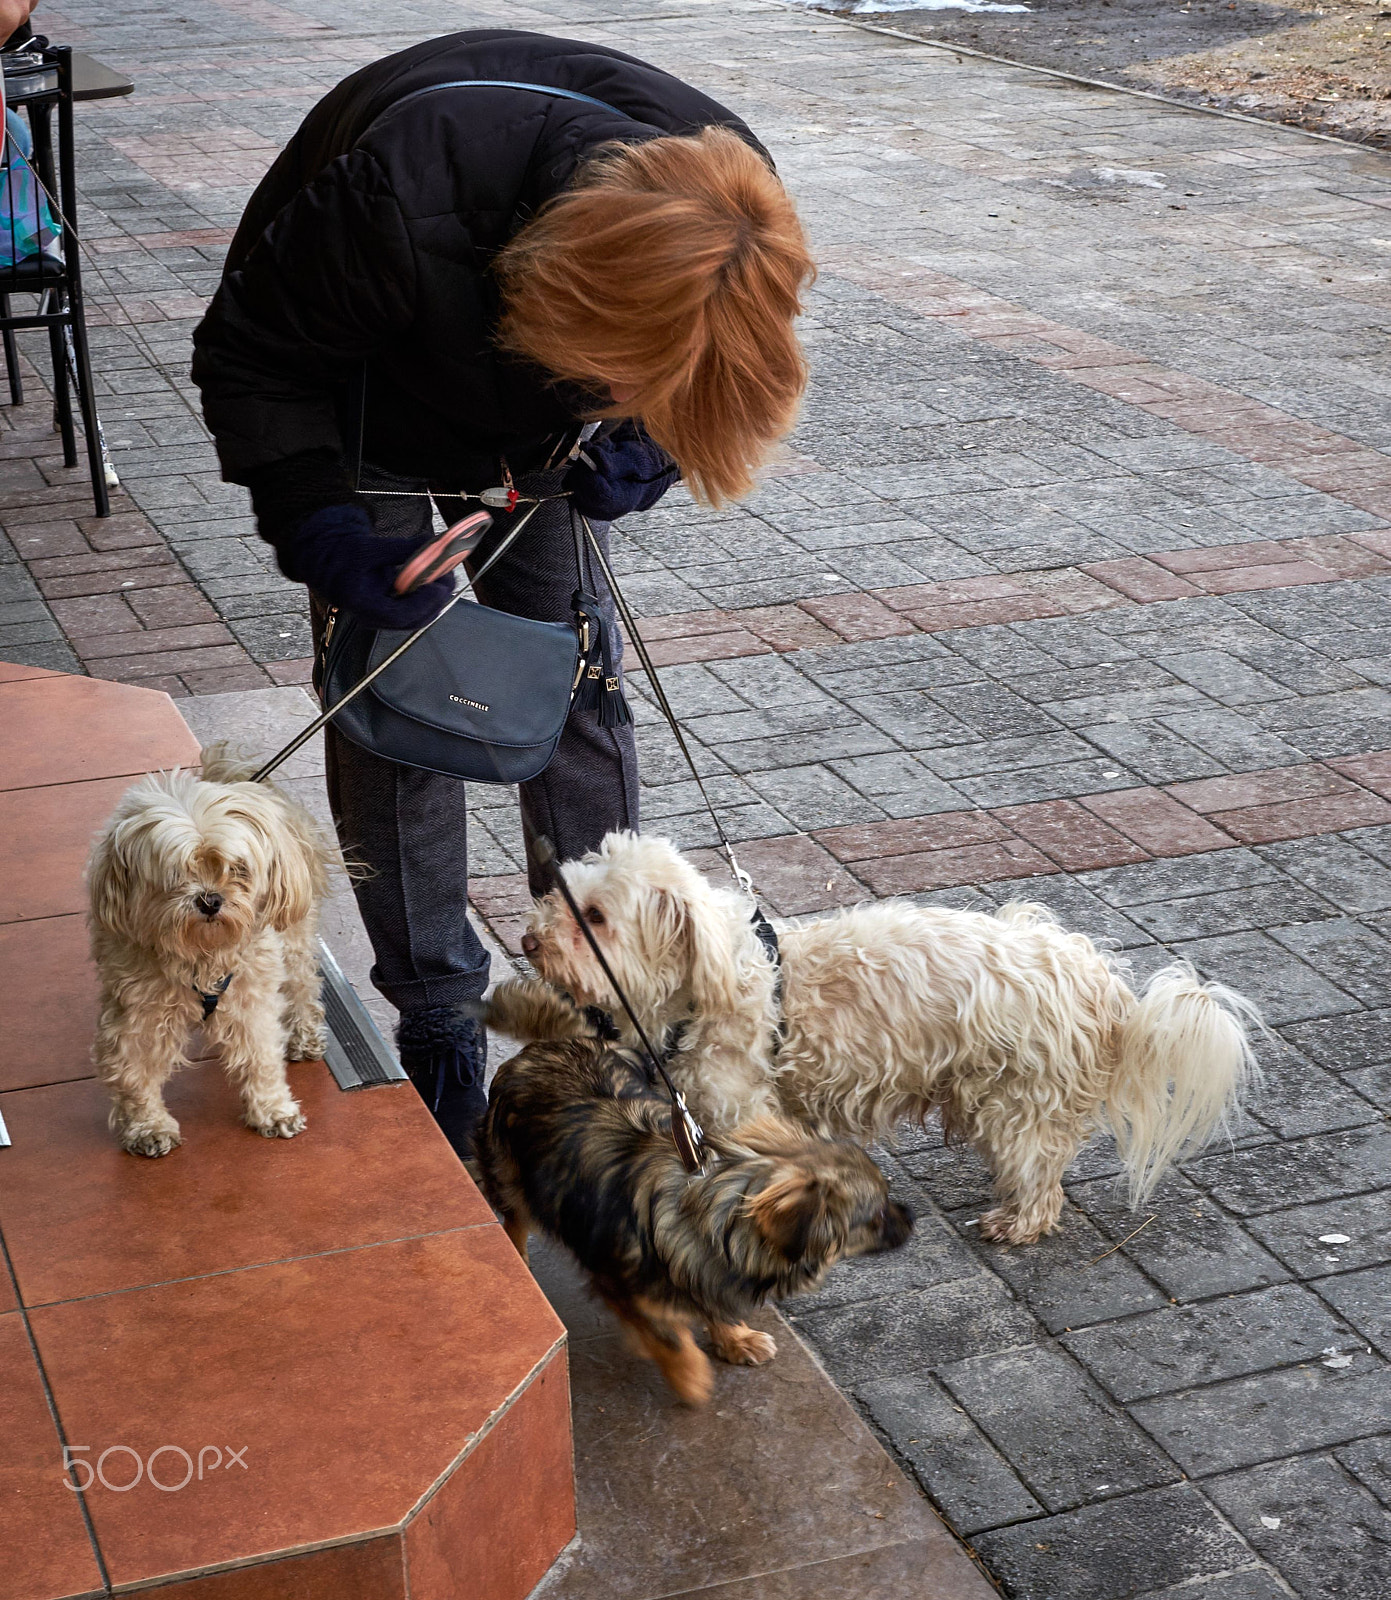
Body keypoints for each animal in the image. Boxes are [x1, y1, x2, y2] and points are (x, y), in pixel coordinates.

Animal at [88, 742, 334, 1158]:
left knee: (303, 988)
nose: (209, 900)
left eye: (237, 869)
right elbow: (135, 1071)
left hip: (294, 942)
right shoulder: (139, 1013)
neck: (200, 955)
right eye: (176, 873)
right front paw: (147, 1126)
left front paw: (273, 1110)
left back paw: (304, 1035)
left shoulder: (251, 999)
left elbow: (261, 1055)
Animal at [477, 979, 909, 1408]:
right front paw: (690, 1376)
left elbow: (713, 1303)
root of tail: (553, 1044)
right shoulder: (617, 1281)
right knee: (515, 1217)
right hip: (510, 1172)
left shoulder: (705, 1268)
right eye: (876, 1216)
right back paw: (516, 1256)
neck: (714, 1207)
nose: (912, 1216)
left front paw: (735, 1339)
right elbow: (667, 1334)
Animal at [509, 832, 1261, 1241]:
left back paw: (1015, 1222)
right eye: (559, 893)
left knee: (1041, 1183)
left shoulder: (742, 1113)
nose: (527, 941)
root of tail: (1103, 991)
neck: (714, 983)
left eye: (595, 916)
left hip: (1019, 1103)